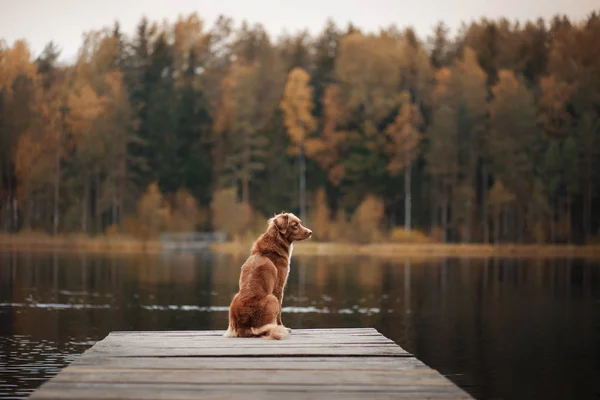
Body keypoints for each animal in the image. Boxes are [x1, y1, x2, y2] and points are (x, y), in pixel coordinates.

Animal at [223, 212, 312, 340]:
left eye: (300, 222)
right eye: (295, 225)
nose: (310, 232)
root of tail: (244, 327)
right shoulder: (279, 288)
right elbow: (279, 313)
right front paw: (283, 327)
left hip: (235, 298)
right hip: (271, 298)